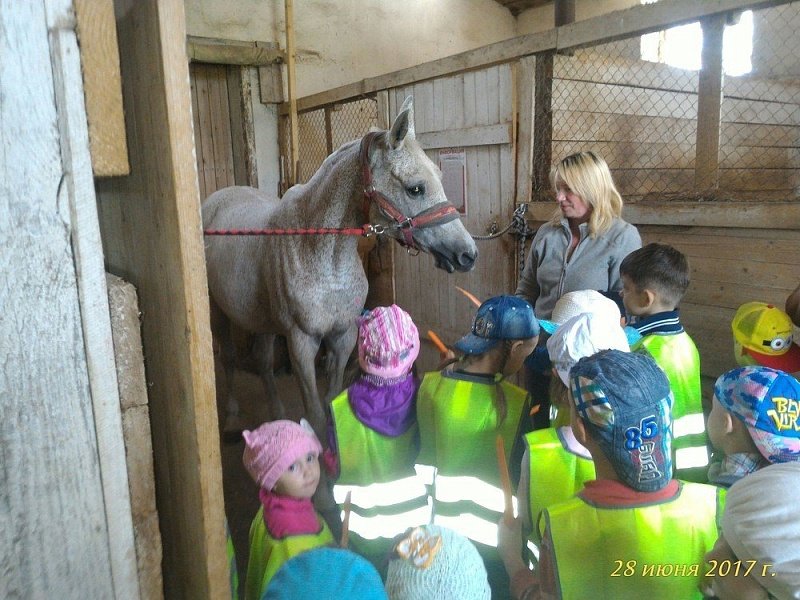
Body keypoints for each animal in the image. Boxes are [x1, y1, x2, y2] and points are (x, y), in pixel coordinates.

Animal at [203, 97, 476, 436]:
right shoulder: (301, 344)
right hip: (218, 313)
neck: (322, 257)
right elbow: (316, 414)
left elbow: (331, 399)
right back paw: (230, 416)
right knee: (227, 359)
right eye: (415, 188)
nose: (467, 253)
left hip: (262, 320)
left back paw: (277, 416)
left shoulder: (343, 336)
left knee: (264, 363)